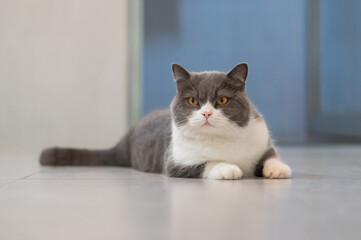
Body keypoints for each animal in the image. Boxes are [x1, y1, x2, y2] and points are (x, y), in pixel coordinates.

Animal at [40, 62, 292, 179]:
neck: (222, 139)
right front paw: (227, 168)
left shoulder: (260, 138)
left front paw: (277, 168)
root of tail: (125, 140)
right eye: (193, 101)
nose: (206, 113)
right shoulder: (176, 161)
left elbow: (269, 155)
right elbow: (206, 163)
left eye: (221, 100)